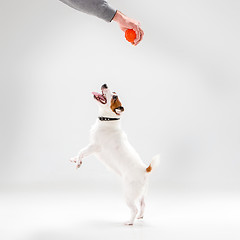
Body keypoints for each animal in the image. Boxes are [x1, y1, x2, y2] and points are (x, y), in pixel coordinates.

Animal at [70, 83, 159, 224]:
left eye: (114, 97)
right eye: (115, 93)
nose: (105, 84)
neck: (108, 120)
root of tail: (145, 170)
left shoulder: (94, 146)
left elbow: (81, 151)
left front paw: (78, 163)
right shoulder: (92, 148)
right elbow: (82, 153)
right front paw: (75, 159)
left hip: (129, 194)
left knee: (134, 208)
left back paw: (129, 222)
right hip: (141, 194)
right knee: (143, 204)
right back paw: (140, 216)